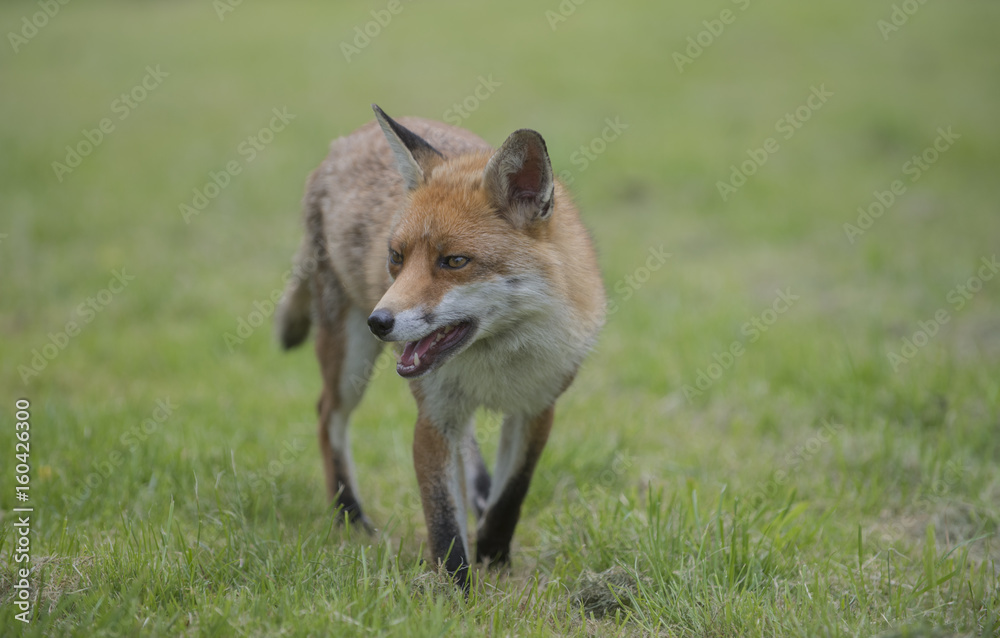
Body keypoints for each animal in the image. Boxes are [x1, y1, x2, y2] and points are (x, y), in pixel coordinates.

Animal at [276, 105, 605, 589]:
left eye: (454, 261)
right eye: (396, 257)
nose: (379, 322)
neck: (497, 359)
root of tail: (344, 142)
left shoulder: (537, 409)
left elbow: (511, 496)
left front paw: (494, 559)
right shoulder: (433, 418)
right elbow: (444, 523)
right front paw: (455, 591)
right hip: (349, 364)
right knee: (326, 416)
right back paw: (350, 516)